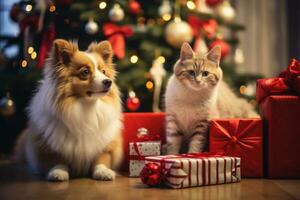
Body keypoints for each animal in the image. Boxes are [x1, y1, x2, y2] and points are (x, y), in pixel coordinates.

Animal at [13, 38, 123, 181]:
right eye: (85, 72)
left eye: (104, 72)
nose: (108, 81)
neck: (87, 106)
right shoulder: (47, 145)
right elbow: (57, 160)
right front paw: (58, 172)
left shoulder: (106, 144)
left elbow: (102, 159)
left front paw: (103, 172)